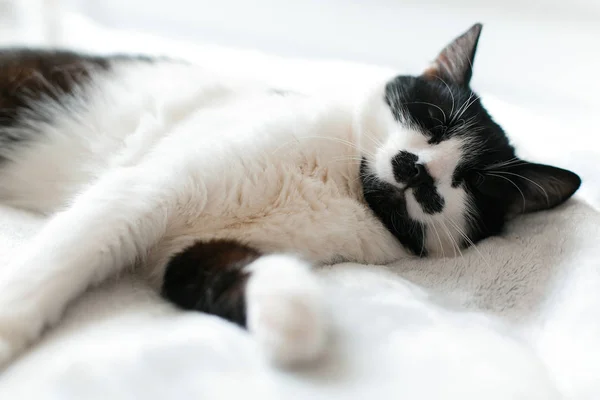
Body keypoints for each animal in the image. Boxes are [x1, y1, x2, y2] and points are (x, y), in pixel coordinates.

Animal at [0, 23, 580, 370]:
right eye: (433, 120)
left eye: (471, 183)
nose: (415, 169)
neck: (341, 186)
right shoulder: (148, 187)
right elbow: (66, 254)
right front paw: (10, 324)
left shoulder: (190, 246)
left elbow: (221, 270)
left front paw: (292, 315)